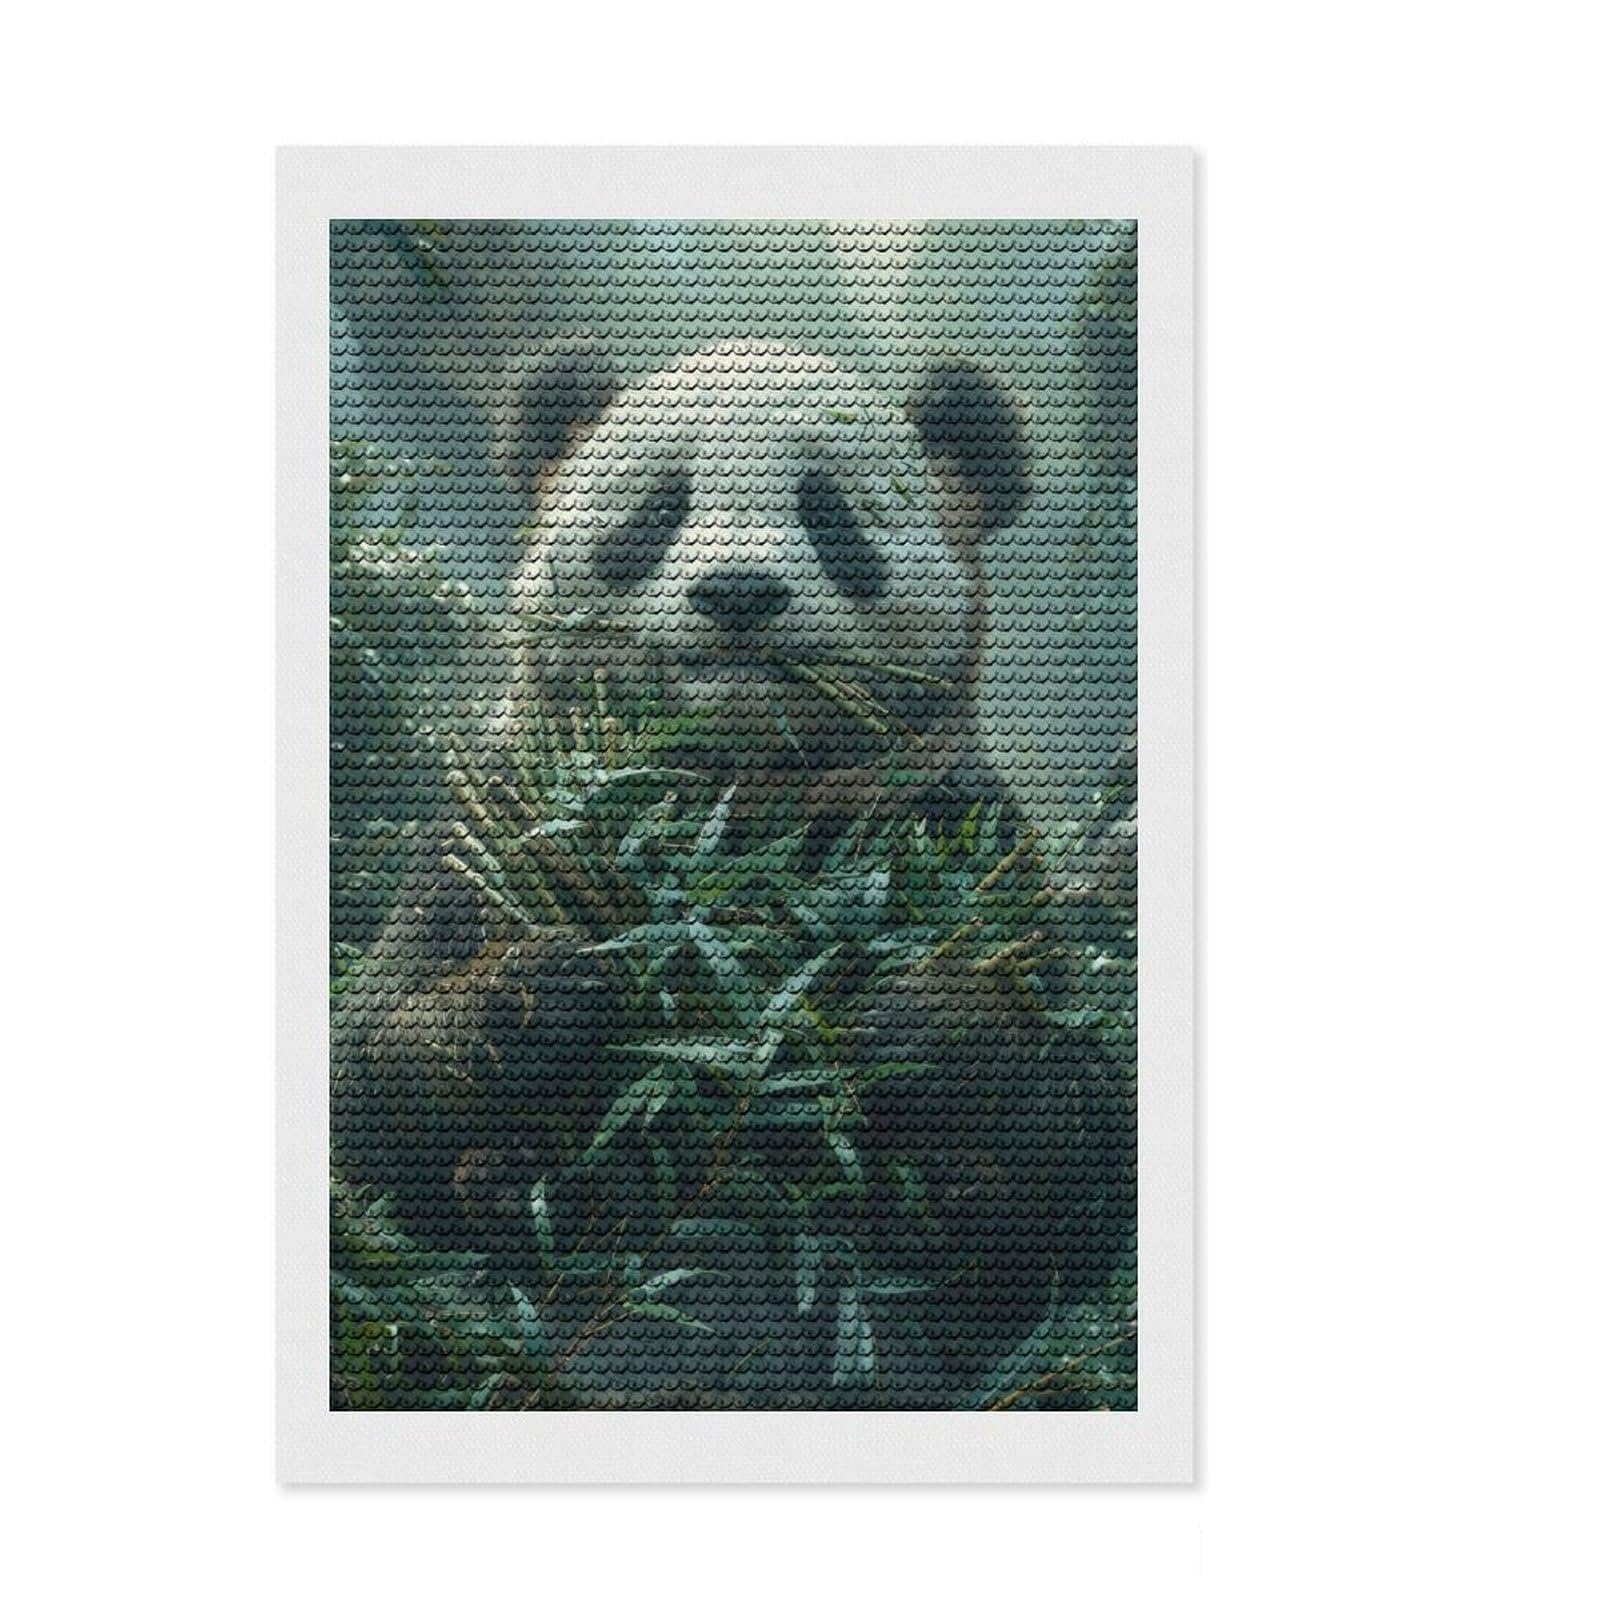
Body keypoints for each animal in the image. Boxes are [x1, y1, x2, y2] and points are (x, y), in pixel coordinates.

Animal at [331, 340, 1125, 1404]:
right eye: (659, 510)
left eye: (830, 514)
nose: (739, 593)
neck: (738, 803)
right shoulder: (506, 825)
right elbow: (369, 1098)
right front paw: (541, 997)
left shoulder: (960, 833)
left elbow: (1085, 1160)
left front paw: (924, 1023)